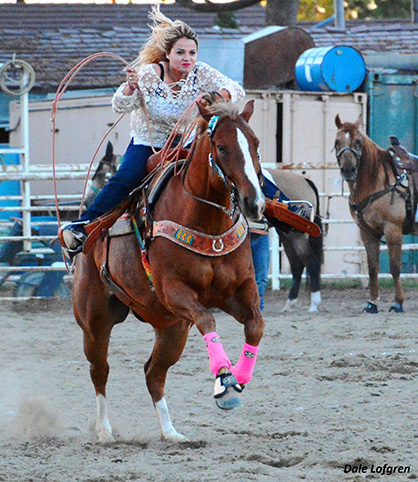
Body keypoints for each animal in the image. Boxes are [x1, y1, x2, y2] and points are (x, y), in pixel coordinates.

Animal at [71, 100, 264, 442]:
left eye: (255, 144)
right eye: (222, 147)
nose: (253, 202)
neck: (207, 223)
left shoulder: (241, 292)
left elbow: (256, 325)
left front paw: (238, 378)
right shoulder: (174, 291)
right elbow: (207, 318)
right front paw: (225, 380)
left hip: (171, 327)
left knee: (153, 373)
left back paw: (171, 432)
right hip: (95, 321)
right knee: (100, 370)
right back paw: (104, 430)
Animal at [268, 169, 324, 312]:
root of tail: (305, 181)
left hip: (296, 236)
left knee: (310, 262)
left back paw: (314, 303)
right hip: (287, 235)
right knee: (296, 265)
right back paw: (290, 302)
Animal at [334, 115, 416, 314]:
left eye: (358, 142)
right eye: (337, 142)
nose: (348, 170)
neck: (375, 180)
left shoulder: (393, 229)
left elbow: (395, 267)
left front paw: (397, 303)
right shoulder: (368, 232)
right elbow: (372, 268)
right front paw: (372, 303)